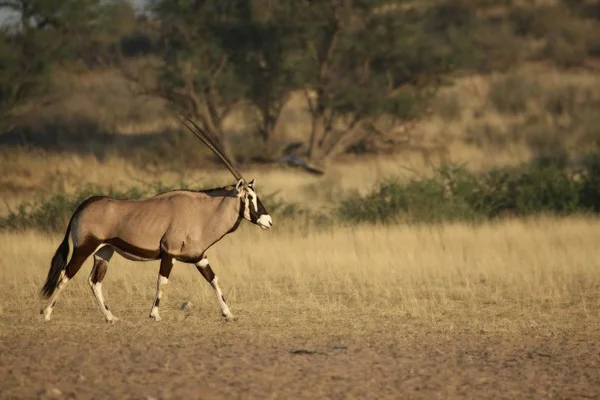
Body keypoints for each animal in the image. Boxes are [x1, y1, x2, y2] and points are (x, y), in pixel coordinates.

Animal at [42, 111, 274, 322]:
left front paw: (229, 314)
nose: (268, 221)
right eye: (250, 197)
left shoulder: (200, 258)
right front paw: (154, 314)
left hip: (104, 252)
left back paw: (110, 317)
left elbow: (214, 280)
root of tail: (83, 205)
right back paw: (46, 313)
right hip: (84, 248)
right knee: (65, 275)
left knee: (94, 281)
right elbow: (162, 281)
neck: (201, 213)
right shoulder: (169, 253)